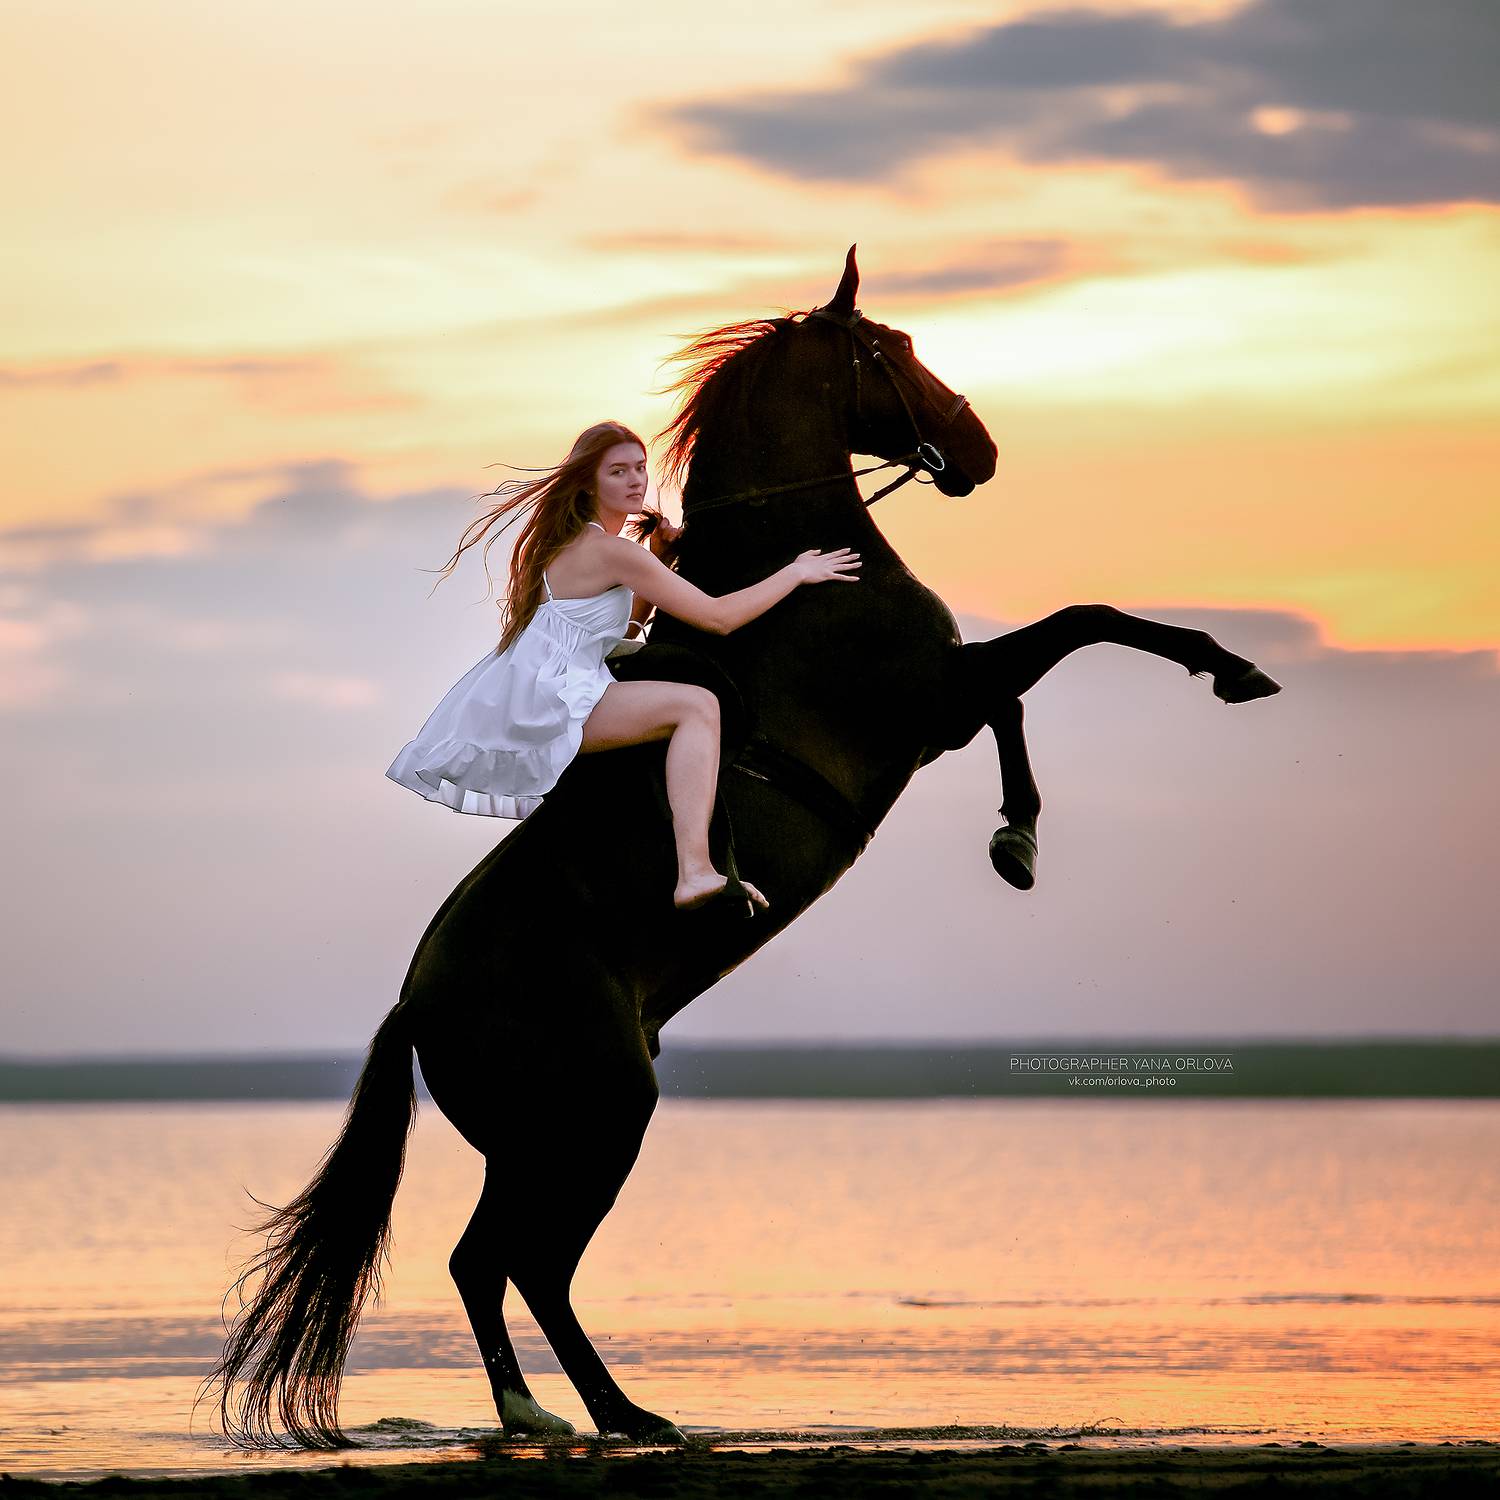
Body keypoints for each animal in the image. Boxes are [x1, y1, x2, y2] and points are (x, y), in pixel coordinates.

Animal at [204, 246, 1280, 1448]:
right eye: (892, 348)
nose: (982, 451)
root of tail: (414, 1003)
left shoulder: (945, 705)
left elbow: (1033, 679)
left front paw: (1023, 836)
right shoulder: (932, 699)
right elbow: (1079, 628)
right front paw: (1213, 681)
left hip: (538, 1138)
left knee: (487, 1262)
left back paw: (554, 1413)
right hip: (596, 1119)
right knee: (526, 1265)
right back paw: (616, 1413)